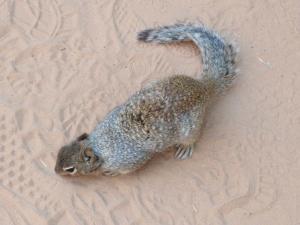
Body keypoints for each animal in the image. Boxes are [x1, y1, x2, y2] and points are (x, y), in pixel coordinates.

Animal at [54, 23, 237, 178]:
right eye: (61, 150)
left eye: (70, 169)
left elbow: (127, 169)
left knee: (192, 138)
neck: (99, 145)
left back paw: (186, 147)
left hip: (191, 128)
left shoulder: (129, 160)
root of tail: (202, 87)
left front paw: (112, 173)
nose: (55, 171)